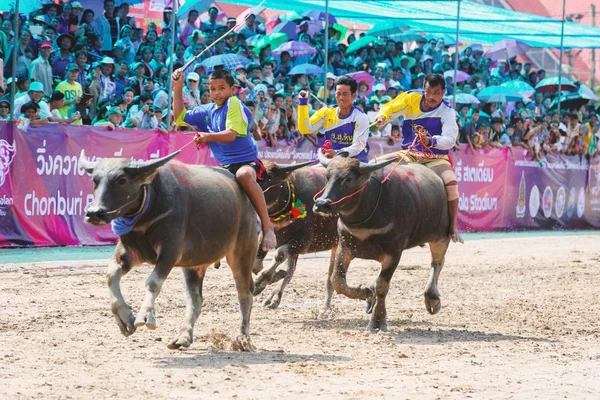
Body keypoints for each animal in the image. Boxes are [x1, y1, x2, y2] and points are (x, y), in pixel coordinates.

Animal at [79, 150, 258, 350]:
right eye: (95, 180)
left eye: (122, 180)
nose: (94, 213)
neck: (147, 212)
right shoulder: (130, 251)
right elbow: (111, 275)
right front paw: (125, 318)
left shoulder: (170, 251)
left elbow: (152, 282)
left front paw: (145, 315)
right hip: (193, 264)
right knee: (195, 298)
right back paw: (183, 336)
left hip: (242, 252)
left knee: (245, 292)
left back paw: (243, 338)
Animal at [314, 152, 450, 332]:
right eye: (327, 177)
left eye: (349, 178)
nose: (322, 204)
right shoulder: (345, 247)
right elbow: (337, 280)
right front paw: (366, 292)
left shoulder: (393, 254)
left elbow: (382, 286)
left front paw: (377, 321)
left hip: (440, 237)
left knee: (437, 263)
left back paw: (432, 298)